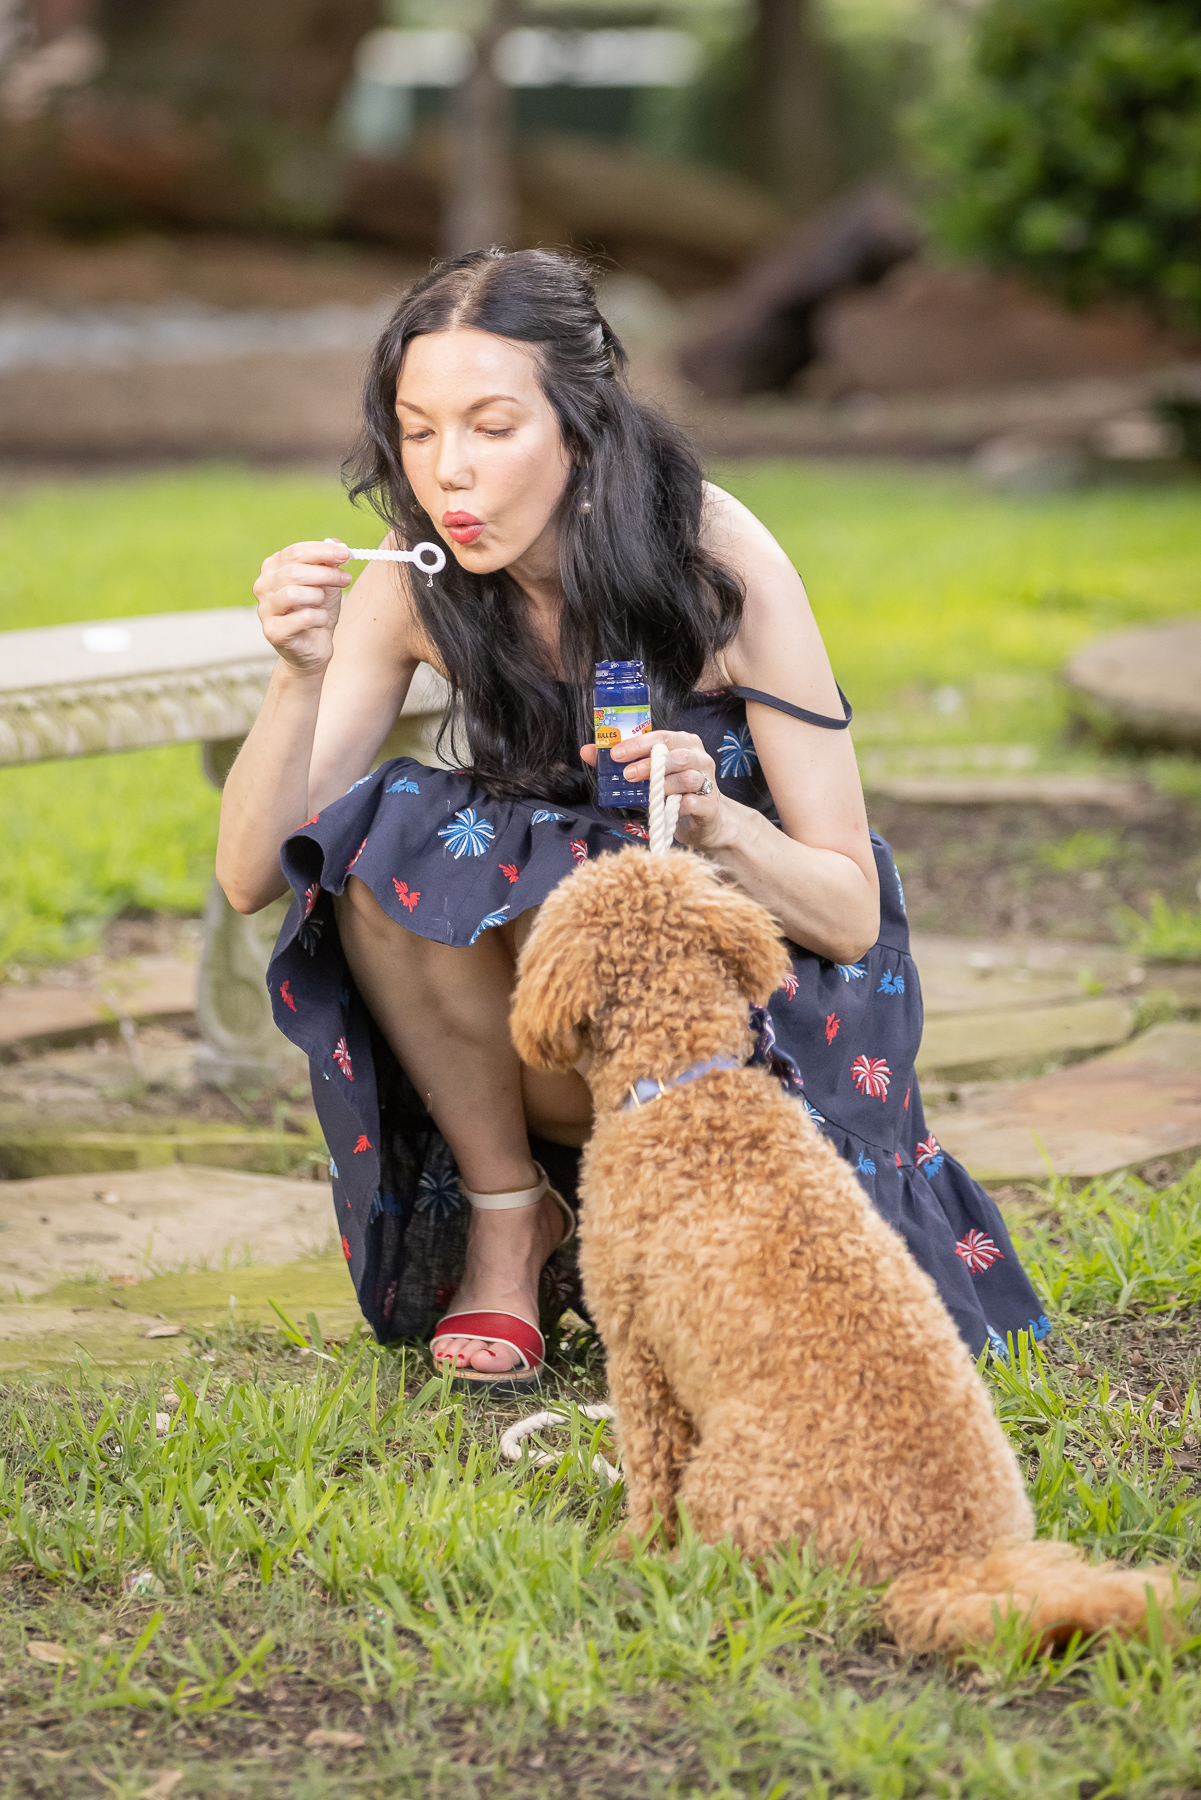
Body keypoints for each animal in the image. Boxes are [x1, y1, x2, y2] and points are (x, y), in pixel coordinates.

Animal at [511, 849, 1181, 1648]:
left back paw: (665, 1578)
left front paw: (630, 1547)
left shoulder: (638, 1350)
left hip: (729, 1474)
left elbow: (649, 1471)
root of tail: (942, 1560)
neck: (688, 1085)